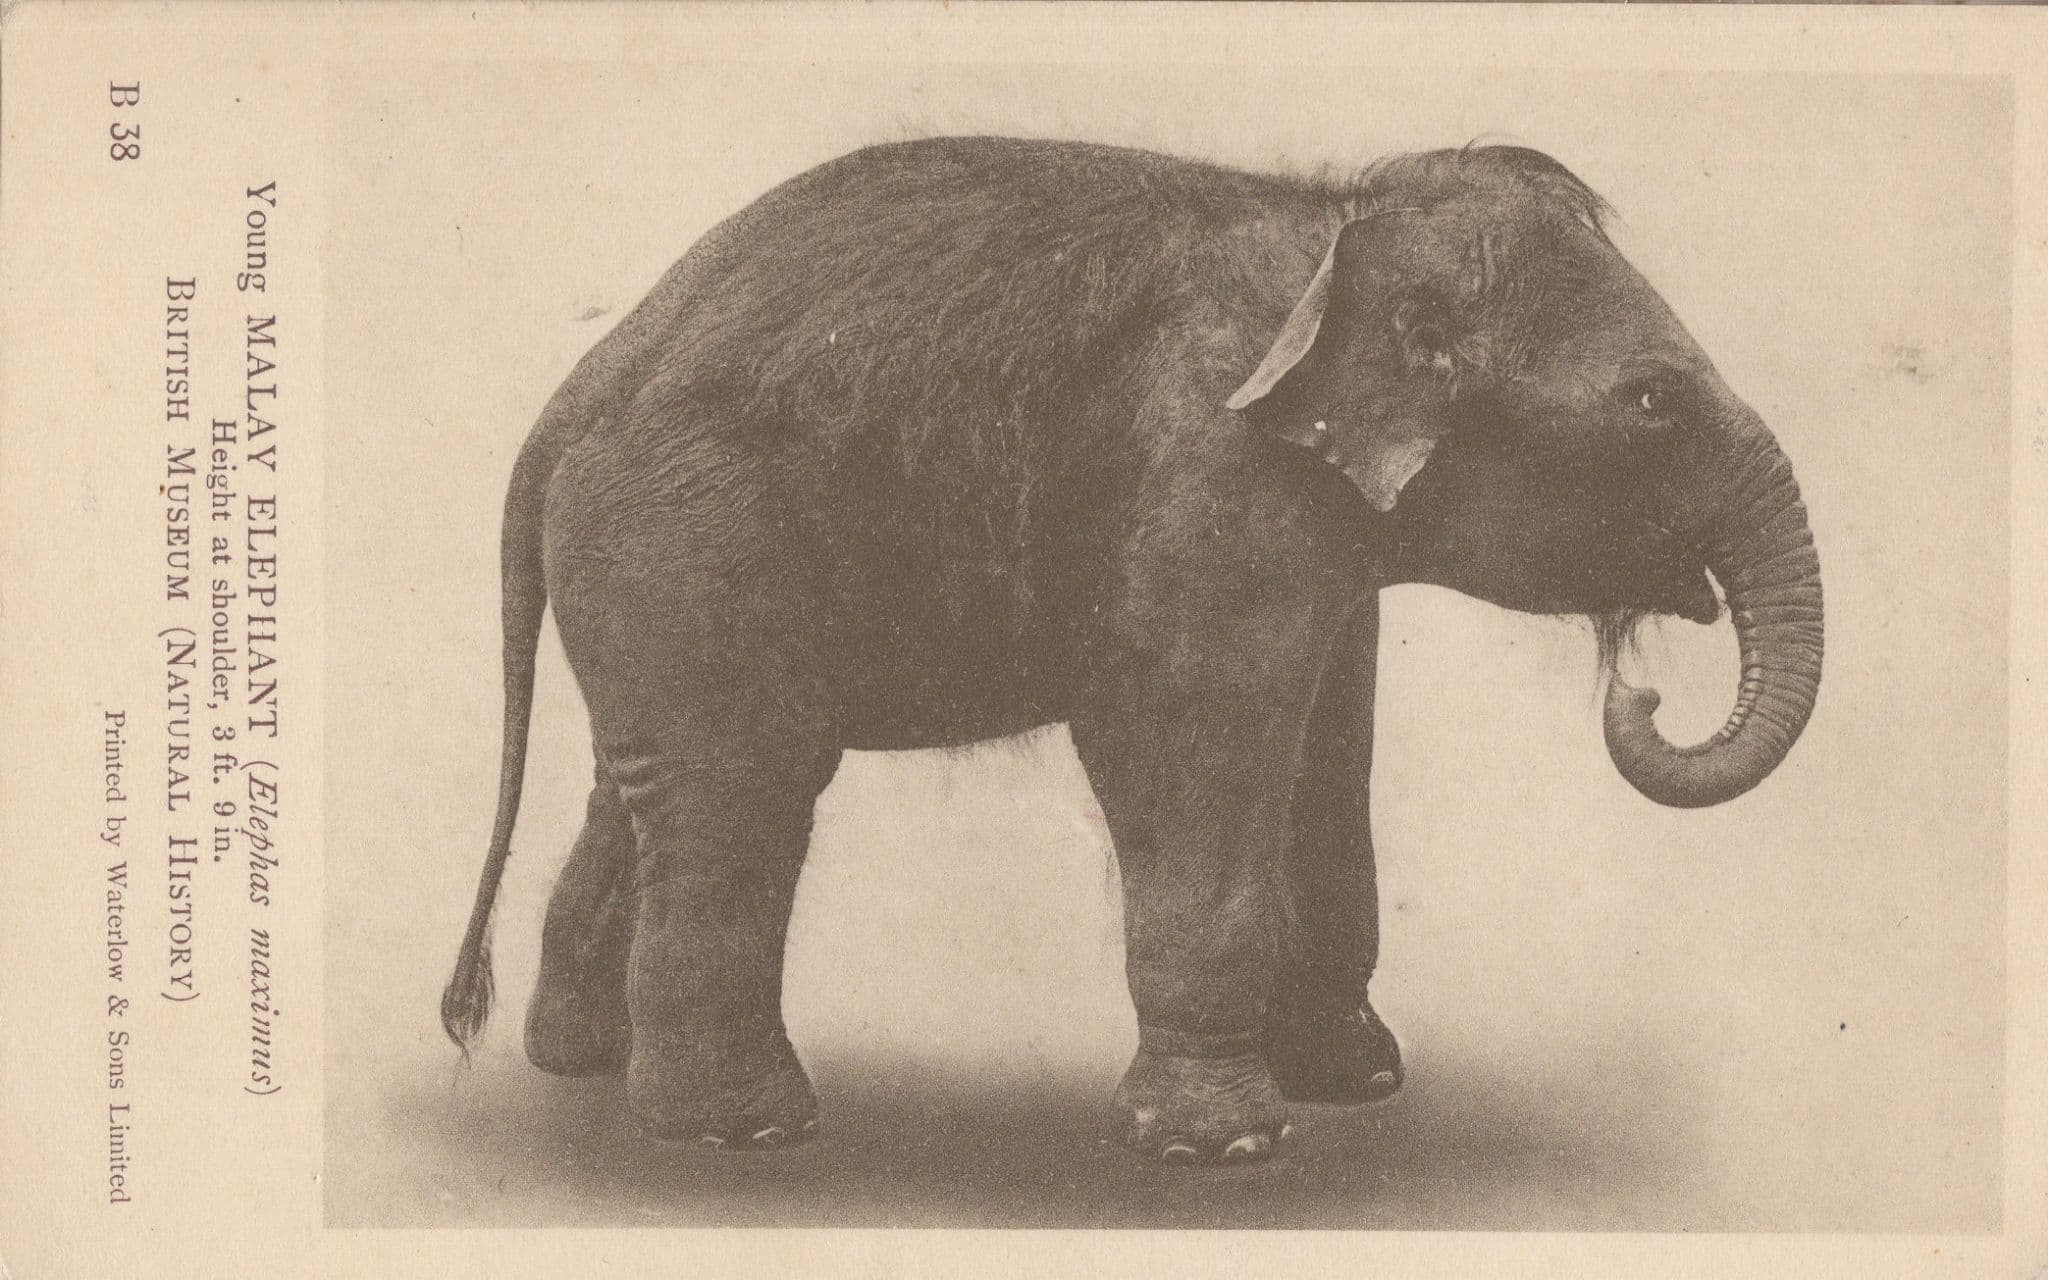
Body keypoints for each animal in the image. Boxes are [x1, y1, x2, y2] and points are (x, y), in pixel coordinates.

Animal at [441, 136, 1823, 1165]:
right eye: (1651, 402)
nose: (1642, 688)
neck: (1332, 229)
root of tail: (570, 398)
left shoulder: (1312, 522)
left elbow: (1326, 745)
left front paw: (1357, 1086)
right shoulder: (1207, 475)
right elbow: (1181, 733)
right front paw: (1220, 1147)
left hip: (653, 574)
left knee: (645, 786)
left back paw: (581, 1066)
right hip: (688, 536)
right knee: (746, 785)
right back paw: (745, 1132)